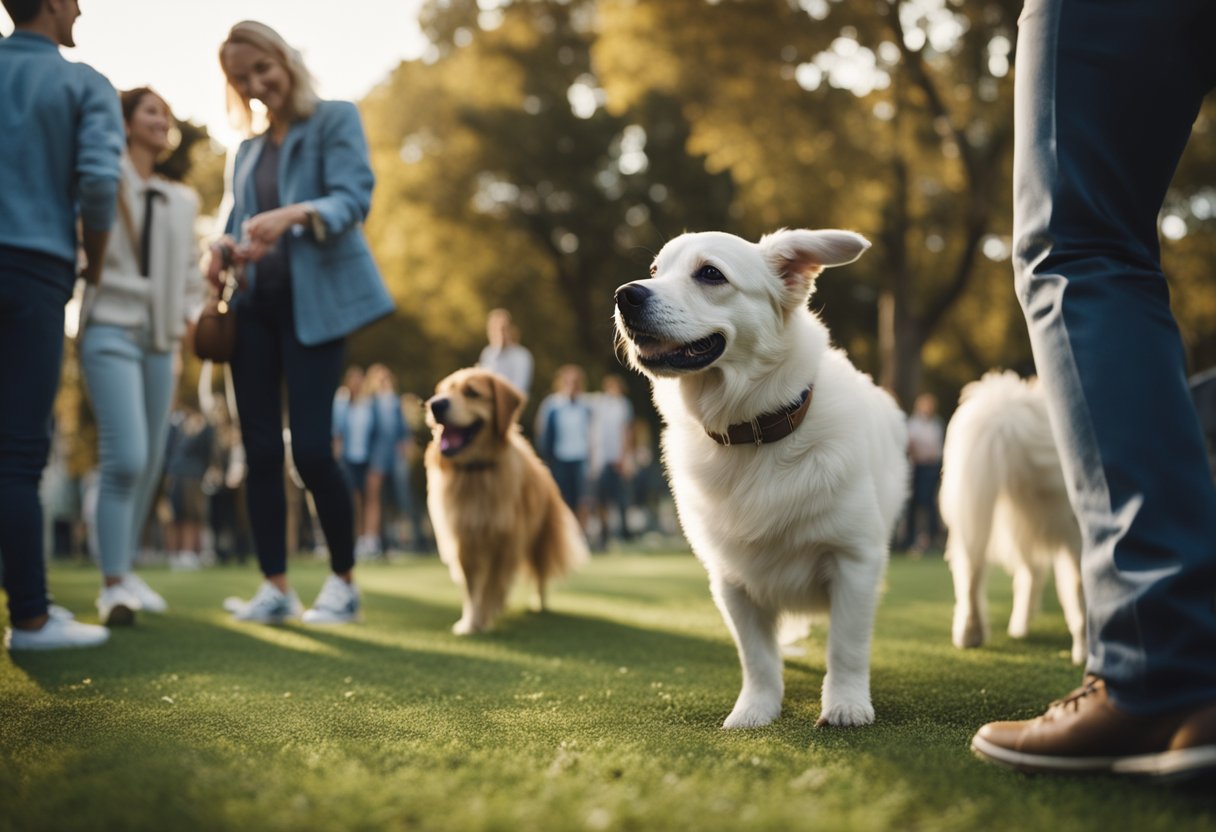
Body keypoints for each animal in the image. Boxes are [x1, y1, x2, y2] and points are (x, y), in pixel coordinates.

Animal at [612, 227, 909, 729]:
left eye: (711, 273)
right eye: (654, 270)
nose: (625, 295)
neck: (753, 436)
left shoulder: (854, 560)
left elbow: (846, 648)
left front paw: (845, 704)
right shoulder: (732, 579)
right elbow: (757, 658)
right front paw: (755, 710)